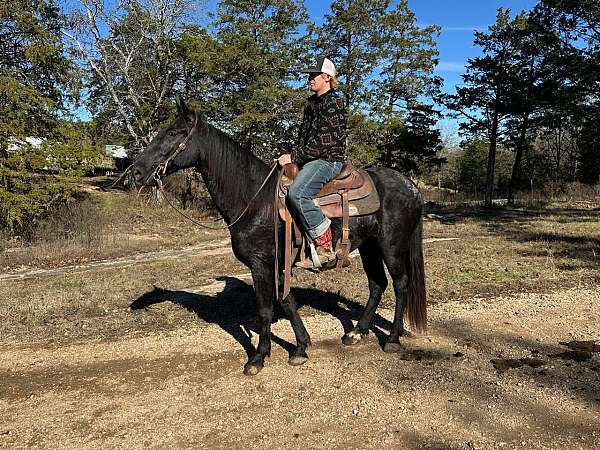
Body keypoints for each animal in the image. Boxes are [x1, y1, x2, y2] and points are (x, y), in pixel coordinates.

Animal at [131, 98, 426, 376]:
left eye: (174, 132)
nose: (135, 171)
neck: (255, 200)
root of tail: (411, 186)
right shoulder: (276, 264)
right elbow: (286, 301)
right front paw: (301, 347)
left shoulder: (261, 264)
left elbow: (265, 309)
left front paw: (258, 357)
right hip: (369, 247)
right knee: (377, 284)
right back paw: (356, 332)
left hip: (391, 245)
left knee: (400, 285)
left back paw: (392, 339)